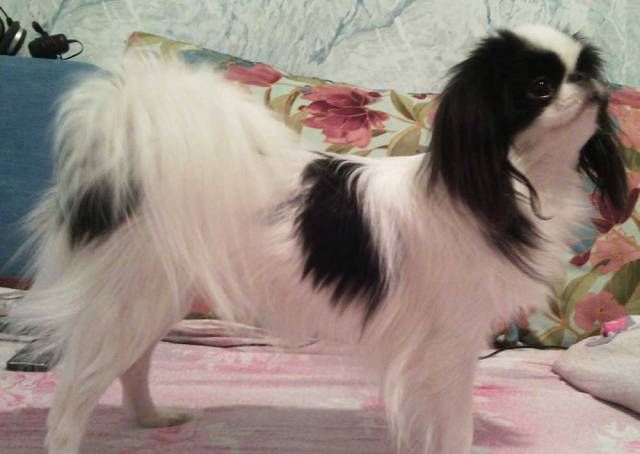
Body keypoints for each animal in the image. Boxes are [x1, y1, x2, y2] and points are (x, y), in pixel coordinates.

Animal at [9, 25, 628, 453]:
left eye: (585, 67)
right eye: (540, 87)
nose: (591, 85)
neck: (509, 181)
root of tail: (120, 163)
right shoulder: (448, 346)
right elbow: (454, 426)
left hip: (155, 297)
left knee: (133, 367)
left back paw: (150, 420)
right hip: (129, 301)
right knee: (73, 396)